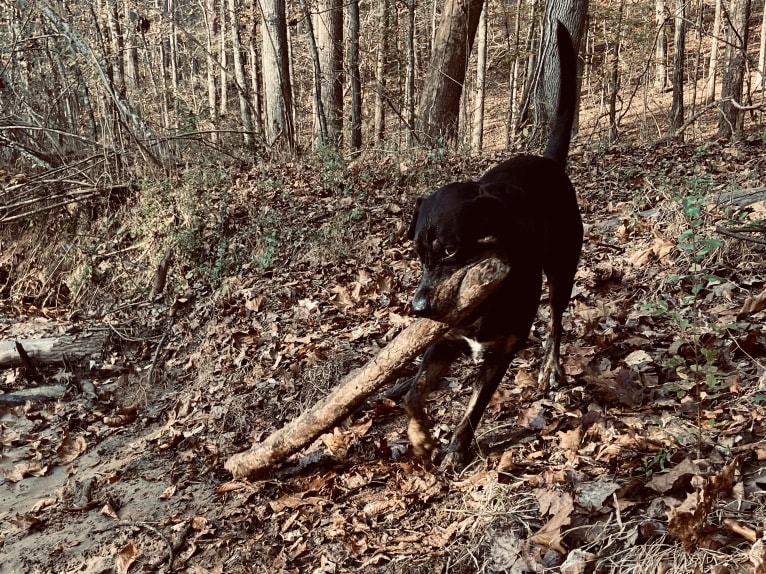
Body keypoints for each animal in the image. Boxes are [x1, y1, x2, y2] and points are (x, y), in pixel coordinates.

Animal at [402, 22, 584, 472]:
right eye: (419, 254)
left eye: (450, 250)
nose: (418, 308)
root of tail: (549, 162)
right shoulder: (445, 340)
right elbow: (412, 394)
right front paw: (421, 441)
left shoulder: (501, 352)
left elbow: (474, 408)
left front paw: (455, 449)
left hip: (563, 269)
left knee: (556, 323)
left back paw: (550, 367)